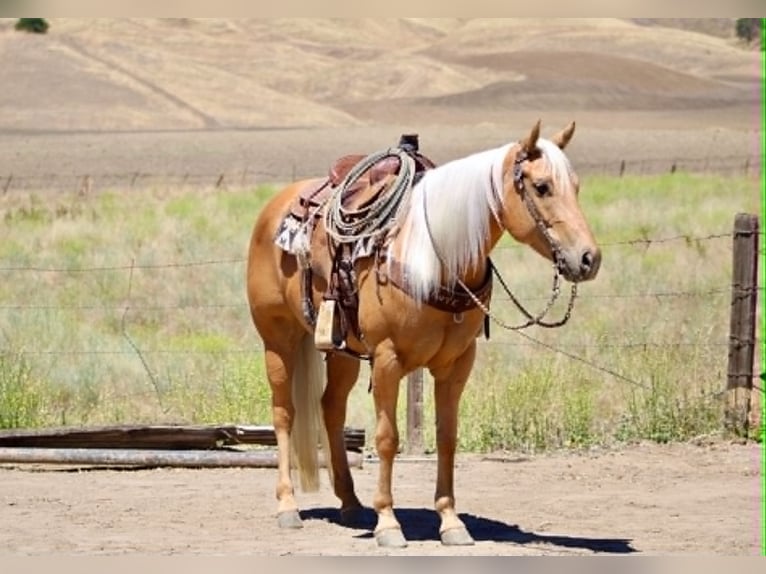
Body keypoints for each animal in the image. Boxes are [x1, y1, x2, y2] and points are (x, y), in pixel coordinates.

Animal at [245, 121, 601, 548]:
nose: (589, 258)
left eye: (577, 187)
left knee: (331, 408)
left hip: (342, 349)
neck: (433, 258)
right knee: (284, 413)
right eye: (543, 186)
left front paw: (451, 522)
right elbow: (387, 438)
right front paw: (388, 524)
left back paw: (350, 503)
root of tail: (276, 205)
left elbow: (447, 437)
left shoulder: (457, 363)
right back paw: (288, 507)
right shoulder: (387, 359)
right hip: (277, 339)